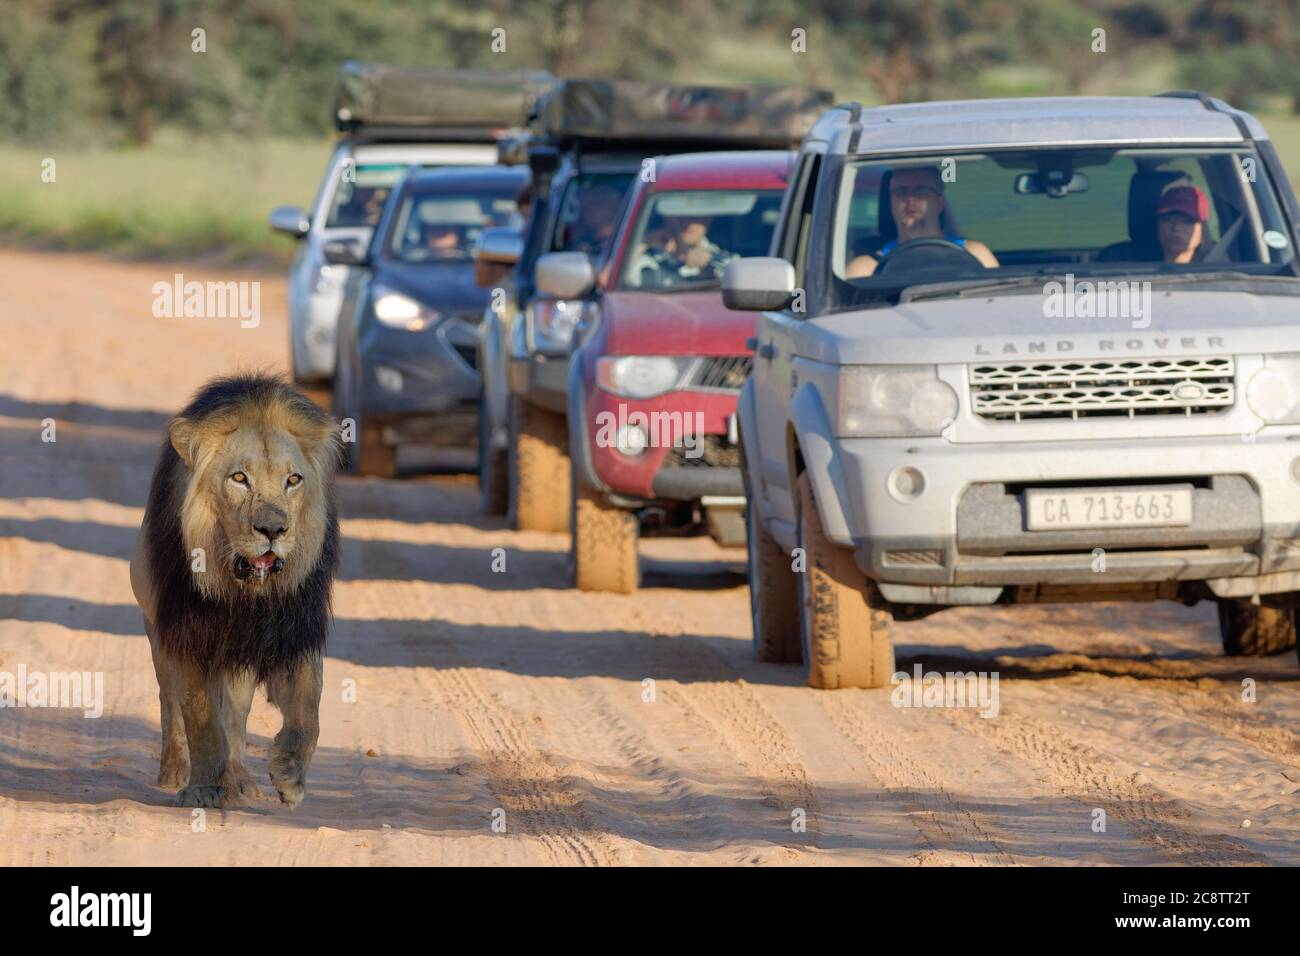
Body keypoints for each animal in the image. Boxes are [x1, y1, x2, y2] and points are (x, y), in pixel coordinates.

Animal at [126, 371, 338, 806]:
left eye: (293, 480)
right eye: (239, 478)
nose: (273, 529)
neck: (243, 593)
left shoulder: (294, 631)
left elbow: (309, 708)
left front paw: (290, 777)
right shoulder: (185, 636)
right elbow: (200, 717)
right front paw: (204, 787)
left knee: (236, 718)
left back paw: (238, 778)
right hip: (157, 634)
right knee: (170, 704)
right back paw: (176, 772)